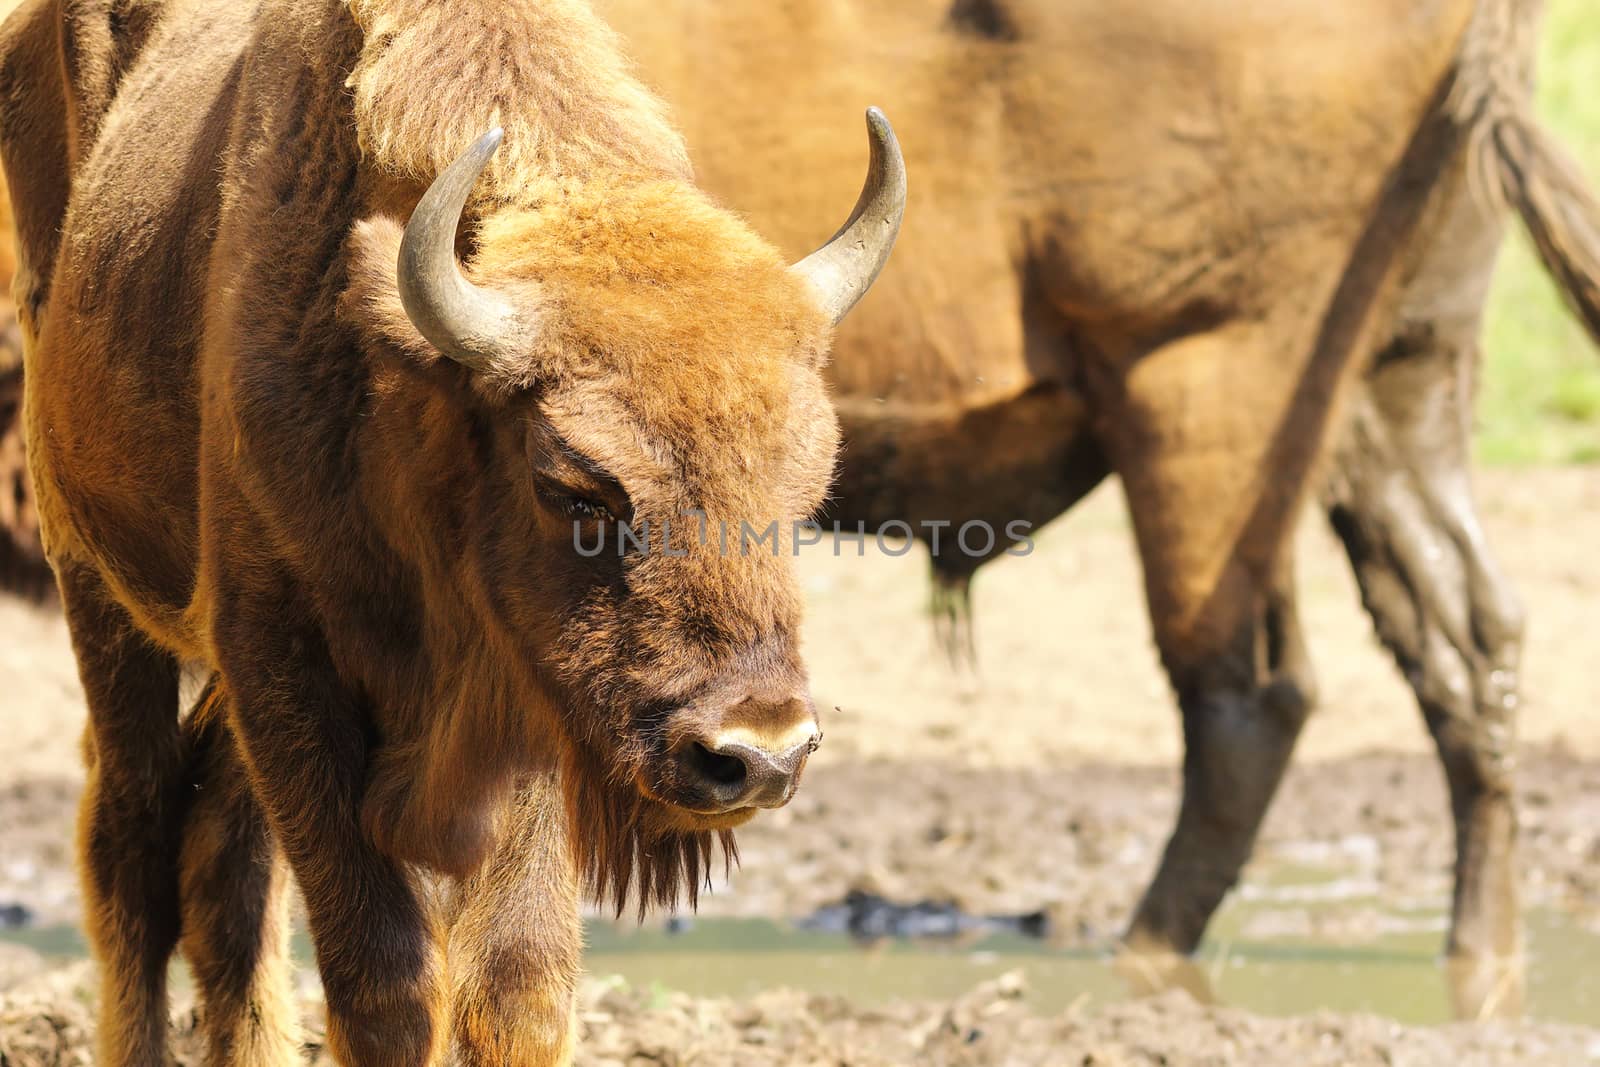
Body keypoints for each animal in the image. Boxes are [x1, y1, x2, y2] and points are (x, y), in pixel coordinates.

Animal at [0, 0, 902, 1062]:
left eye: (805, 490)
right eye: (576, 484)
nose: (759, 752)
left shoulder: (539, 712)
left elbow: (519, 977)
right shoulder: (281, 656)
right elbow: (382, 977)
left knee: (226, 869)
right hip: (95, 583)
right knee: (133, 842)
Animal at [601, 0, 1600, 991]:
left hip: (1204, 385)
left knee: (1250, 689)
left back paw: (1141, 957)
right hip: (1402, 377)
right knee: (1466, 637)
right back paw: (1478, 959)